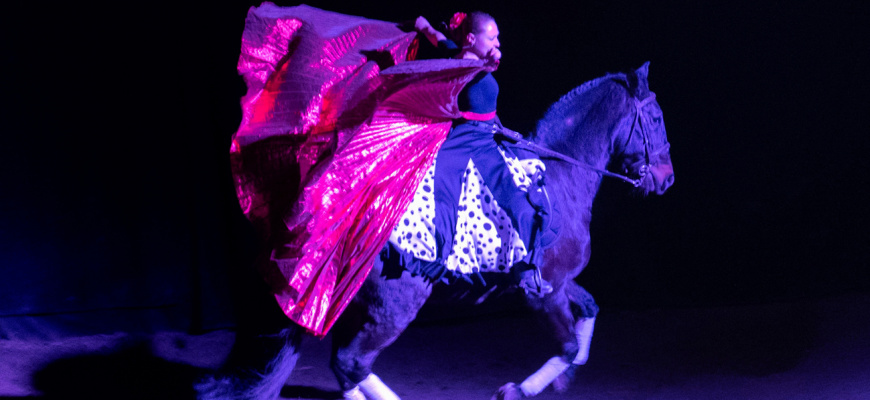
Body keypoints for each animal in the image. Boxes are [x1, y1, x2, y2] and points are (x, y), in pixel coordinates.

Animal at [198, 61, 676, 400]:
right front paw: (519, 390)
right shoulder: (545, 291)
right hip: (396, 303)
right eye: (654, 118)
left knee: (345, 365)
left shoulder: (558, 281)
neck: (560, 177)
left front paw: (561, 381)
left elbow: (591, 309)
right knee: (352, 363)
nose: (666, 179)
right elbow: (567, 346)